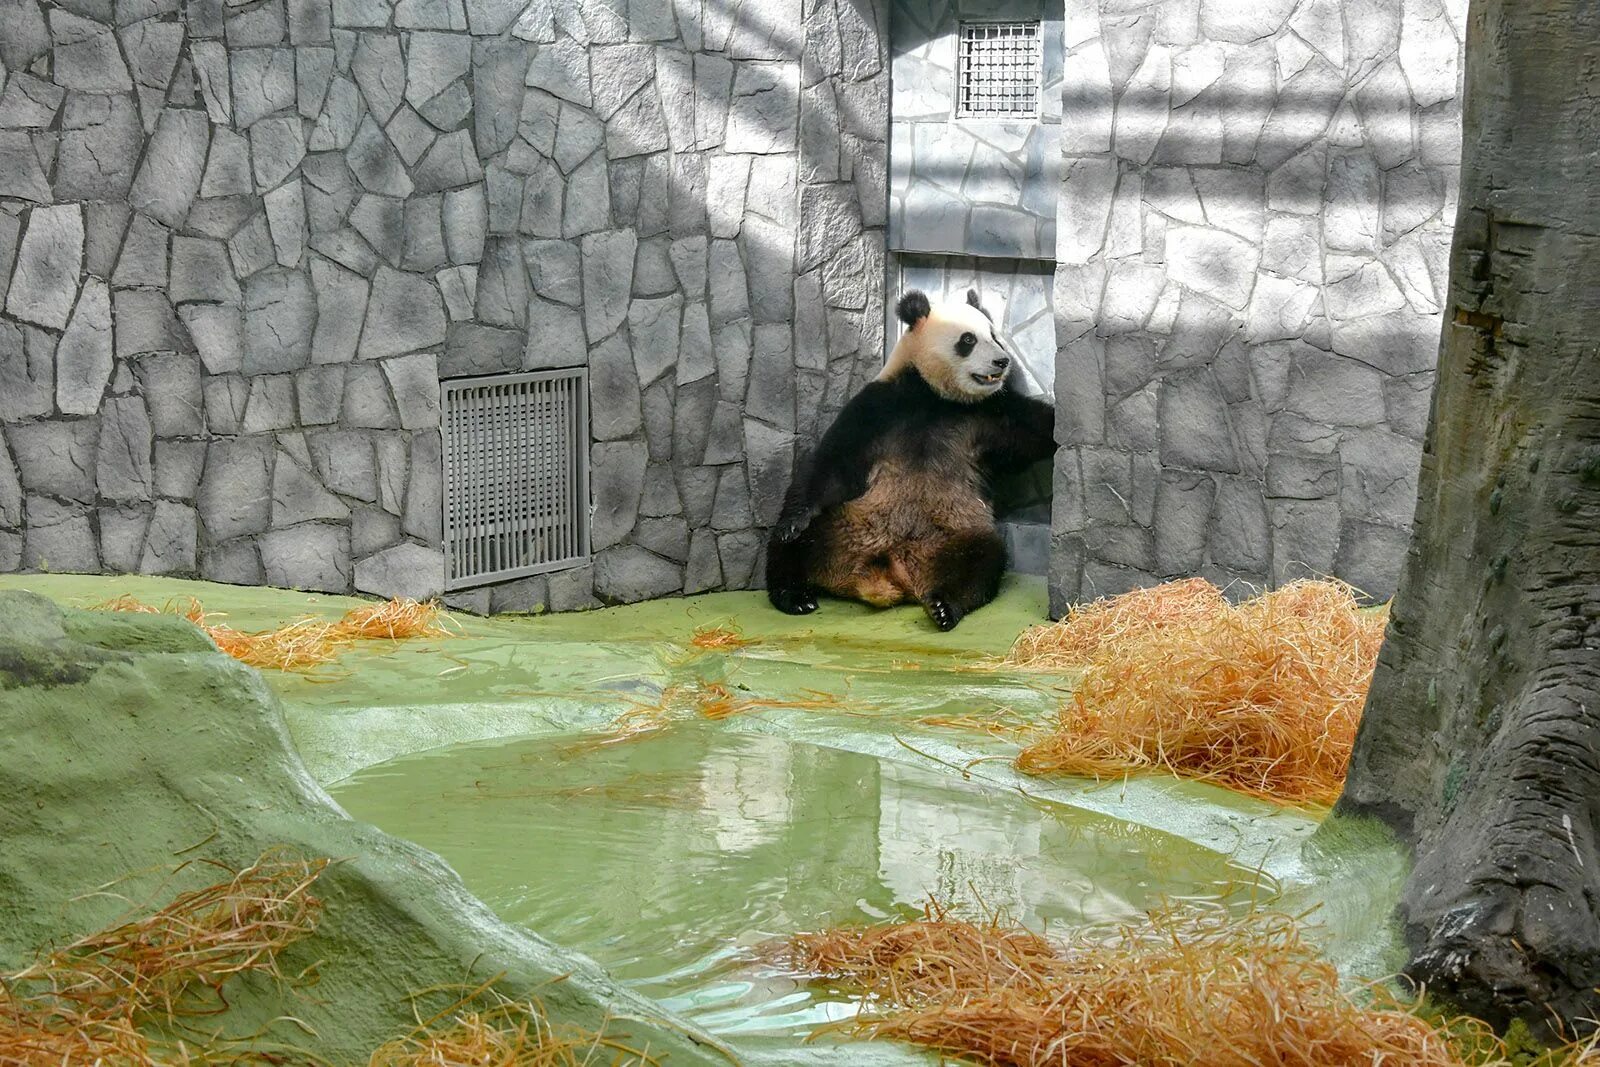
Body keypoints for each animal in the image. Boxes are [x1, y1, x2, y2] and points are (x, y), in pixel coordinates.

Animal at [764, 287, 1056, 630]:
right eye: (968, 339)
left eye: (994, 335)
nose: (1002, 360)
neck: (937, 397)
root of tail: (887, 571)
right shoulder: (880, 407)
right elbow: (833, 462)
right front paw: (793, 522)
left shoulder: (992, 417)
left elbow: (1037, 429)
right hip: (843, 522)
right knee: (795, 545)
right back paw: (794, 595)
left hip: (953, 531)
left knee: (980, 558)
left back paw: (943, 606)